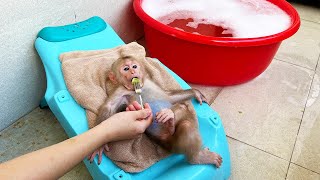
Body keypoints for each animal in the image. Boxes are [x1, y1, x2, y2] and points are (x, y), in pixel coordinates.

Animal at [88, 56, 222, 167]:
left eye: (134, 66)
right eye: (126, 68)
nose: (133, 72)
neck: (137, 88)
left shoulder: (150, 82)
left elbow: (169, 97)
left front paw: (195, 92)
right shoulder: (120, 90)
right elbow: (109, 107)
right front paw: (99, 145)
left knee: (183, 111)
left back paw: (170, 119)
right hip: (169, 143)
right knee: (185, 125)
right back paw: (195, 156)